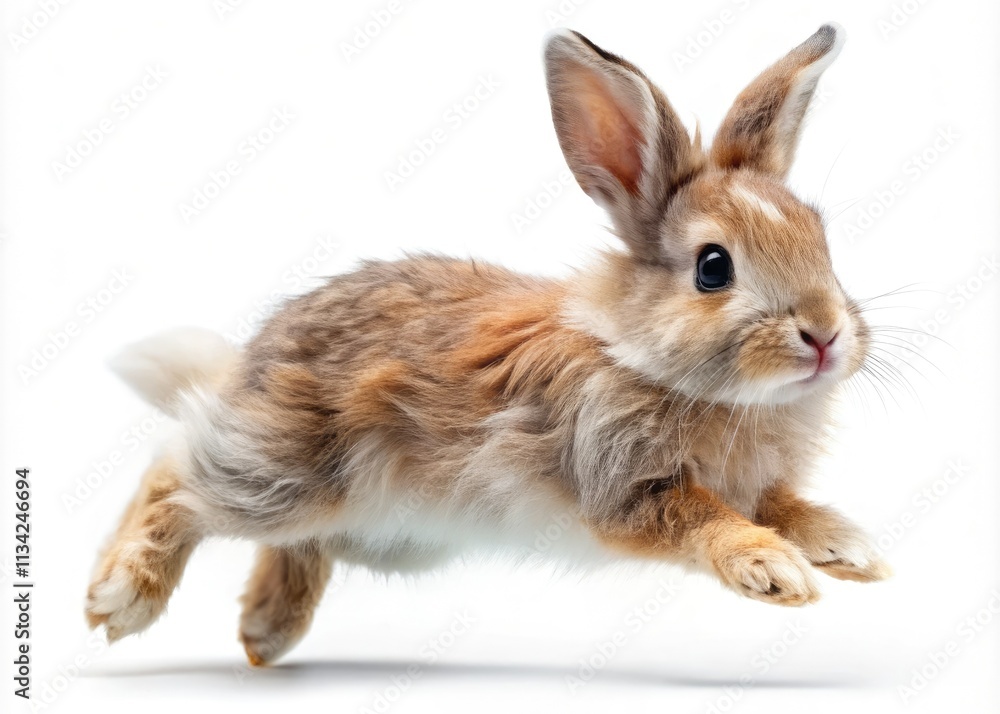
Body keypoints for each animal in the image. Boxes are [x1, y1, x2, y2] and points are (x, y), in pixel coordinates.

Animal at [86, 23, 890, 666]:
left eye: (820, 239)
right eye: (713, 267)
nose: (825, 334)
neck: (650, 362)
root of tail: (248, 368)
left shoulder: (759, 485)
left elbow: (790, 506)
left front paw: (851, 550)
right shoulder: (620, 481)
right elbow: (704, 521)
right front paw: (772, 570)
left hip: (375, 534)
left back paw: (265, 630)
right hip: (284, 476)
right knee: (174, 474)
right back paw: (119, 598)